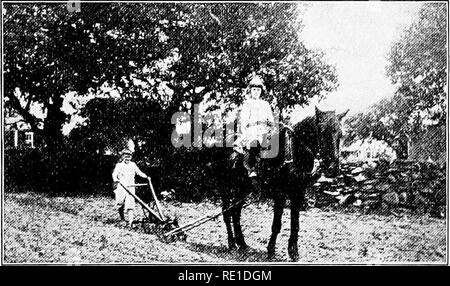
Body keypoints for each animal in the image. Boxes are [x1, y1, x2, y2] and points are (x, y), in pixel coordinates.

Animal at [213, 107, 350, 262]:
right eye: (321, 130)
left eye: (340, 133)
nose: (333, 168)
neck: (293, 153)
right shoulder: (280, 194)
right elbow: (276, 225)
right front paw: (271, 250)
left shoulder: (298, 193)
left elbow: (295, 225)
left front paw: (293, 252)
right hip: (225, 188)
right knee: (227, 213)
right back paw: (231, 243)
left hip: (242, 190)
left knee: (236, 212)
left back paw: (242, 243)